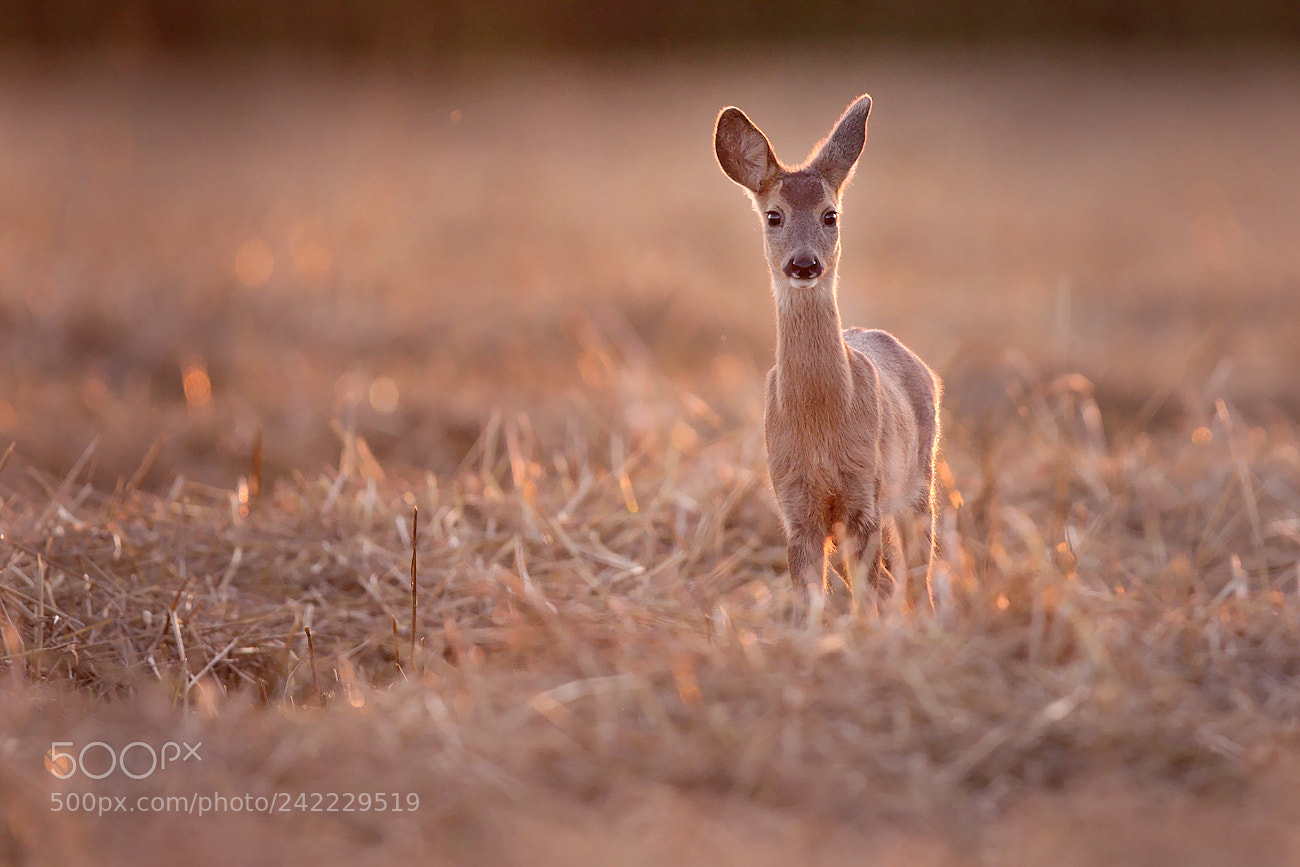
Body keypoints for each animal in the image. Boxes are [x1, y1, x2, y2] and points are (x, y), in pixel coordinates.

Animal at [713, 94, 941, 620]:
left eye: (830, 215)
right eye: (773, 216)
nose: (803, 264)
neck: (821, 420)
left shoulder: (864, 493)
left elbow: (868, 589)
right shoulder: (794, 502)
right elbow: (810, 596)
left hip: (918, 477)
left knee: (915, 569)